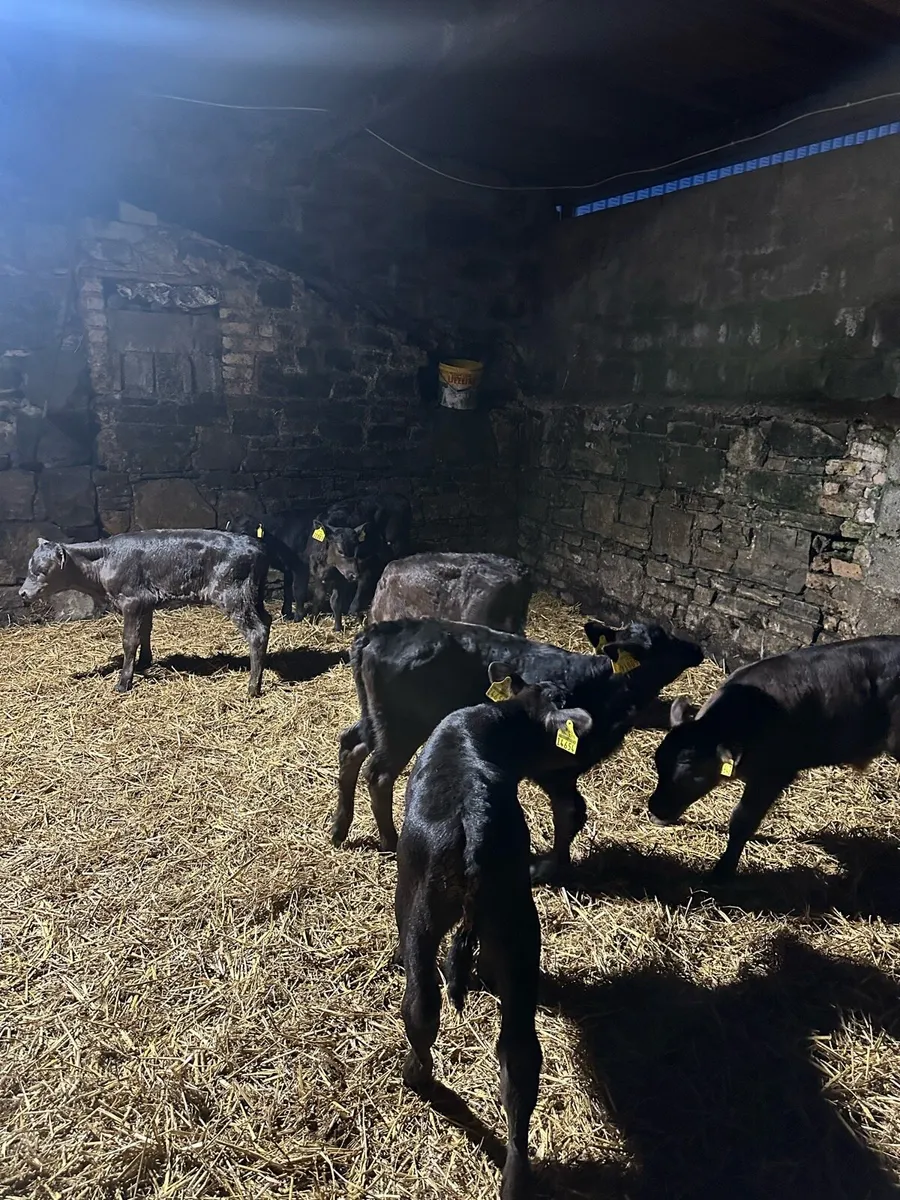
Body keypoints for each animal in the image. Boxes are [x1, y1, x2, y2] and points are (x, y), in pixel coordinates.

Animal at [18, 531, 271, 696]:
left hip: (232, 595)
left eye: (42, 570)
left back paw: (252, 688)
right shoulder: (146, 602)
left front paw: (123, 683)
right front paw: (144, 663)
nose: (22, 592)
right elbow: (145, 633)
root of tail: (255, 545)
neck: (103, 561)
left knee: (256, 632)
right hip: (253, 596)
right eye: (29, 566)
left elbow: (130, 640)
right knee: (267, 621)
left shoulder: (131, 600)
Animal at [334, 616, 703, 881]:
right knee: (379, 774)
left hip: (375, 717)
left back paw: (340, 828)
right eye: (662, 641)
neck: (604, 686)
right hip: (401, 726)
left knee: (351, 746)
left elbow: (572, 812)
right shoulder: (555, 768)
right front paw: (548, 868)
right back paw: (389, 842)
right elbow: (571, 812)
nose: (697, 649)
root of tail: (377, 632)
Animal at [396, 664, 593, 1200]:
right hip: (517, 925)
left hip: (418, 908)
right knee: (519, 1059)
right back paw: (516, 1177)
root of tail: (475, 827)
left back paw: (415, 1076)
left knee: (421, 1003)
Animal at [648, 636, 900, 879]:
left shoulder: (774, 773)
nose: (655, 809)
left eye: (693, 771)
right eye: (658, 764)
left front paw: (721, 872)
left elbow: (742, 819)